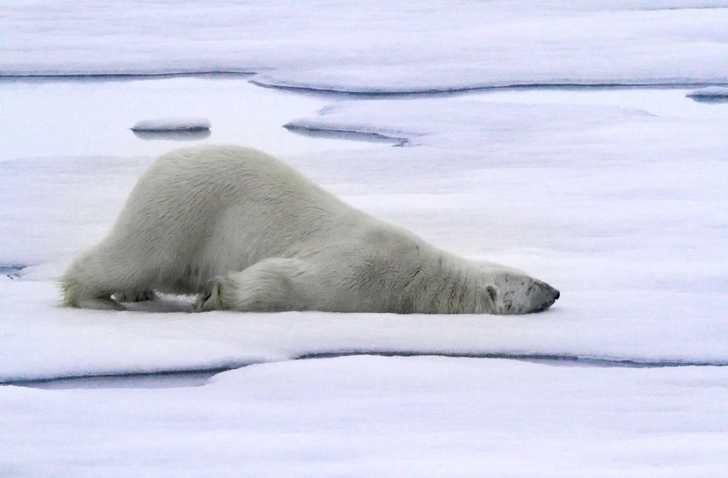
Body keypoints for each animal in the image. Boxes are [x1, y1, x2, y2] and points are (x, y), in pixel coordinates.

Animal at [62, 144, 564, 314]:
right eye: (529, 283)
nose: (557, 290)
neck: (423, 280)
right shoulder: (360, 270)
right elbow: (284, 279)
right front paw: (218, 294)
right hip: (182, 212)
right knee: (133, 256)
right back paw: (96, 297)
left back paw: (137, 294)